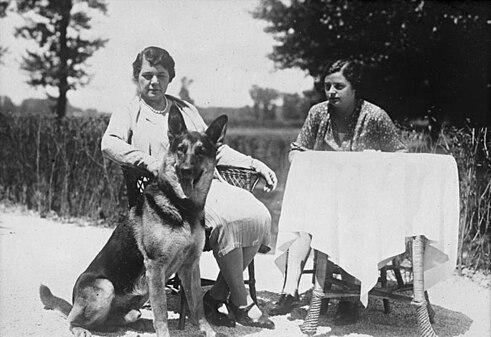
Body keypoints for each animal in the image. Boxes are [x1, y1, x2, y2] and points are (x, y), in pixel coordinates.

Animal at [40, 105, 229, 336]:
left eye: (201, 151)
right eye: (181, 149)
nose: (185, 170)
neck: (182, 207)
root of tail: (74, 301)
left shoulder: (191, 265)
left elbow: (197, 305)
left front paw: (207, 330)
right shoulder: (155, 266)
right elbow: (161, 310)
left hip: (133, 305)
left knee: (115, 321)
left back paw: (135, 323)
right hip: (105, 288)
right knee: (73, 319)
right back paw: (80, 328)